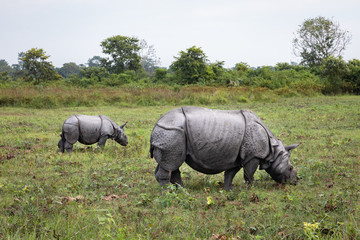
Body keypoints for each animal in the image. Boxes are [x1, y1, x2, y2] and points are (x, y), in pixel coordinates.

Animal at [149, 107, 298, 189]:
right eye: (290, 168)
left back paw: (182, 191)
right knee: (171, 163)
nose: (296, 182)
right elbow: (249, 175)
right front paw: (250, 190)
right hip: (171, 132)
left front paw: (229, 190)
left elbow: (230, 174)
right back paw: (168, 194)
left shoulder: (237, 156)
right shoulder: (252, 156)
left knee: (171, 164)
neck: (274, 151)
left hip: (171, 134)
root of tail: (156, 124)